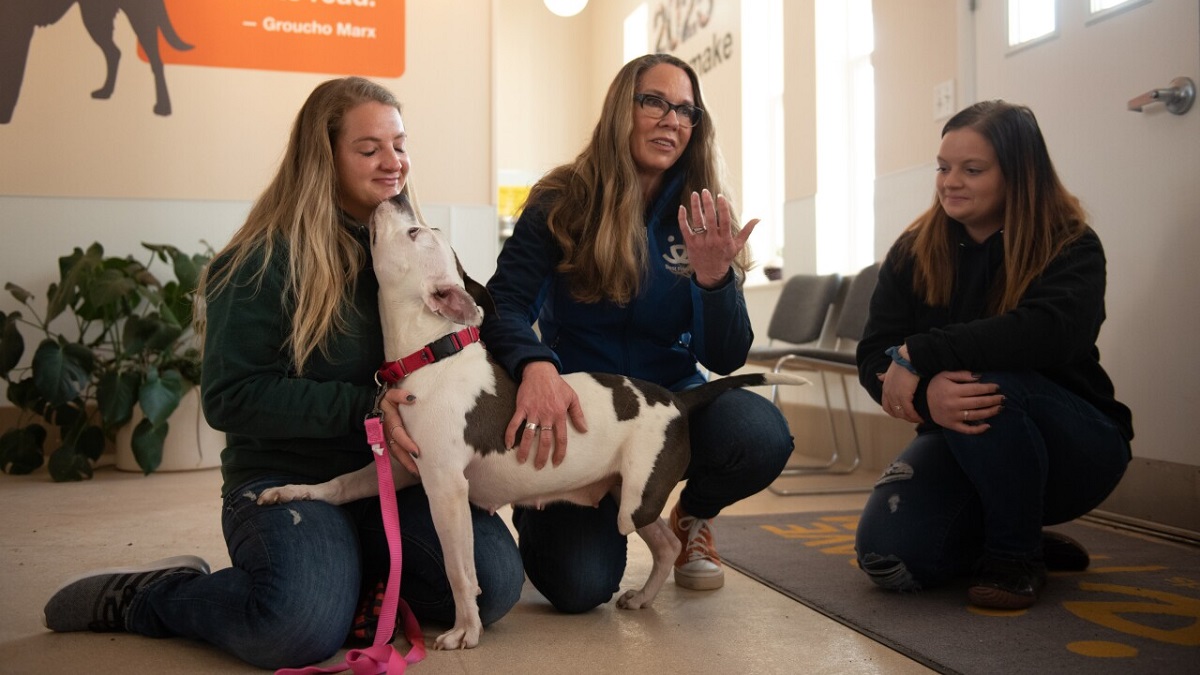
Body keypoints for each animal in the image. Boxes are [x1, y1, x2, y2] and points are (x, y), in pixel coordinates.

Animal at [260, 193, 806, 648]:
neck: (429, 356)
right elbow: (337, 485)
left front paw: (465, 631)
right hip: (621, 495)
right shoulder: (397, 467)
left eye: (416, 232)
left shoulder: (444, 487)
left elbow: (460, 569)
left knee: (665, 538)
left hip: (635, 499)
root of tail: (675, 398)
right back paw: (644, 598)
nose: (394, 195)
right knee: (665, 544)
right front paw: (289, 492)